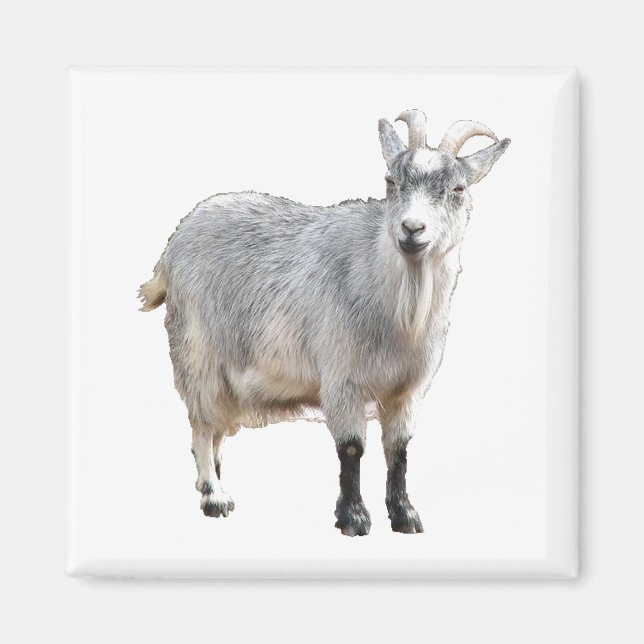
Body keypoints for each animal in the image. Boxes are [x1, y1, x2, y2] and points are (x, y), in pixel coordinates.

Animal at [139, 109, 510, 536]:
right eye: (391, 181)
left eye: (458, 188)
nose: (412, 229)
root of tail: (171, 249)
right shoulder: (341, 377)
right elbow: (351, 447)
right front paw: (353, 519)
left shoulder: (408, 389)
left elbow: (398, 449)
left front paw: (404, 516)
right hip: (197, 351)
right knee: (202, 425)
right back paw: (214, 497)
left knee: (215, 429)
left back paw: (212, 484)